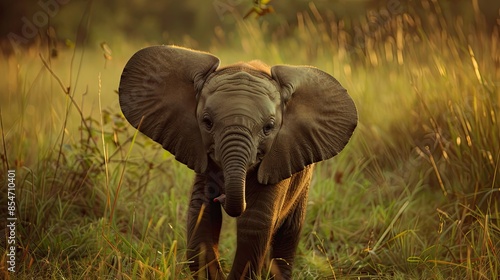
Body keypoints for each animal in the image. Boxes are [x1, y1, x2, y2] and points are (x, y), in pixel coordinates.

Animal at [119, 45, 358, 278]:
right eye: (207, 122)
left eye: (269, 127)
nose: (222, 196)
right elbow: (201, 213)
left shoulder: (278, 159)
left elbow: (254, 221)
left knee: (290, 230)